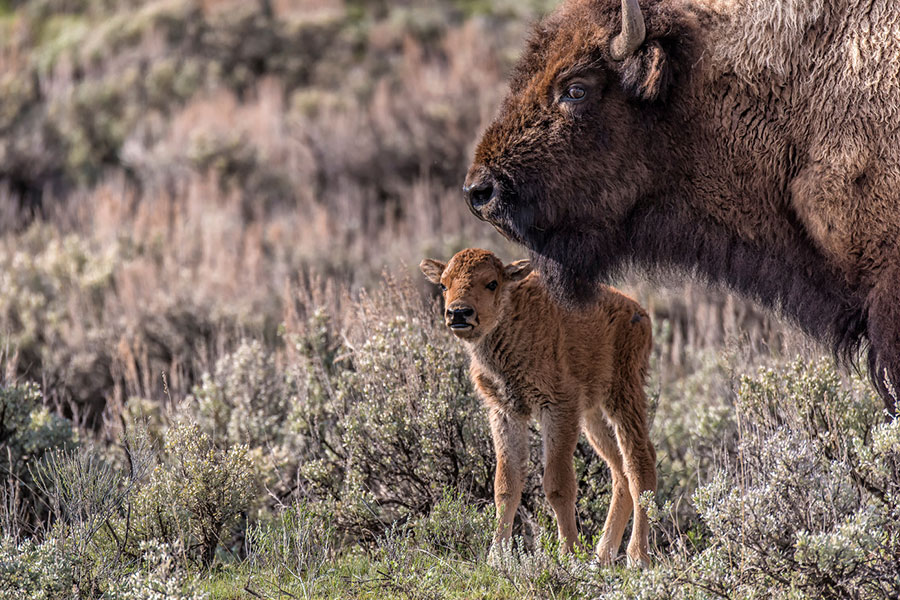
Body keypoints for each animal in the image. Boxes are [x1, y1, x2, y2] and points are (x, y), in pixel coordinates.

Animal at [418, 246, 656, 564]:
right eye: (444, 285)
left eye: (491, 283)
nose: (458, 313)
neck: (512, 321)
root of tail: (640, 313)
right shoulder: (506, 412)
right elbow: (506, 485)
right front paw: (496, 557)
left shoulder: (557, 408)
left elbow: (557, 485)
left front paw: (569, 554)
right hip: (593, 416)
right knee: (620, 470)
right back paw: (602, 554)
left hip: (623, 396)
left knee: (640, 464)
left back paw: (637, 556)